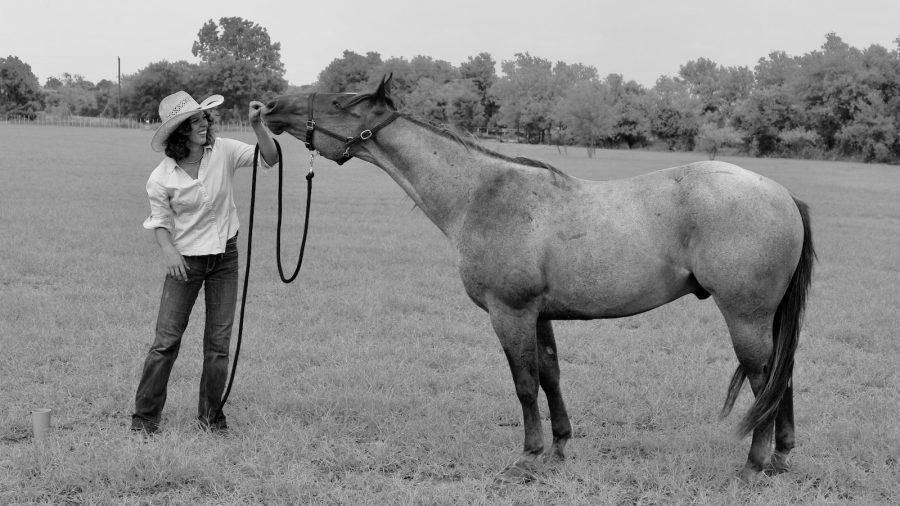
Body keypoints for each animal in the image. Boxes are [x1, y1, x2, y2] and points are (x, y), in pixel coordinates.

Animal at [261, 76, 815, 483]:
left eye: (341, 100)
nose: (270, 106)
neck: (479, 193)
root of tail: (782, 194)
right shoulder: (540, 315)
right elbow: (550, 376)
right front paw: (559, 449)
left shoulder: (511, 312)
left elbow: (524, 384)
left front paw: (527, 456)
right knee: (781, 377)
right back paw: (781, 457)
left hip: (745, 316)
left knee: (765, 379)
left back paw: (755, 463)